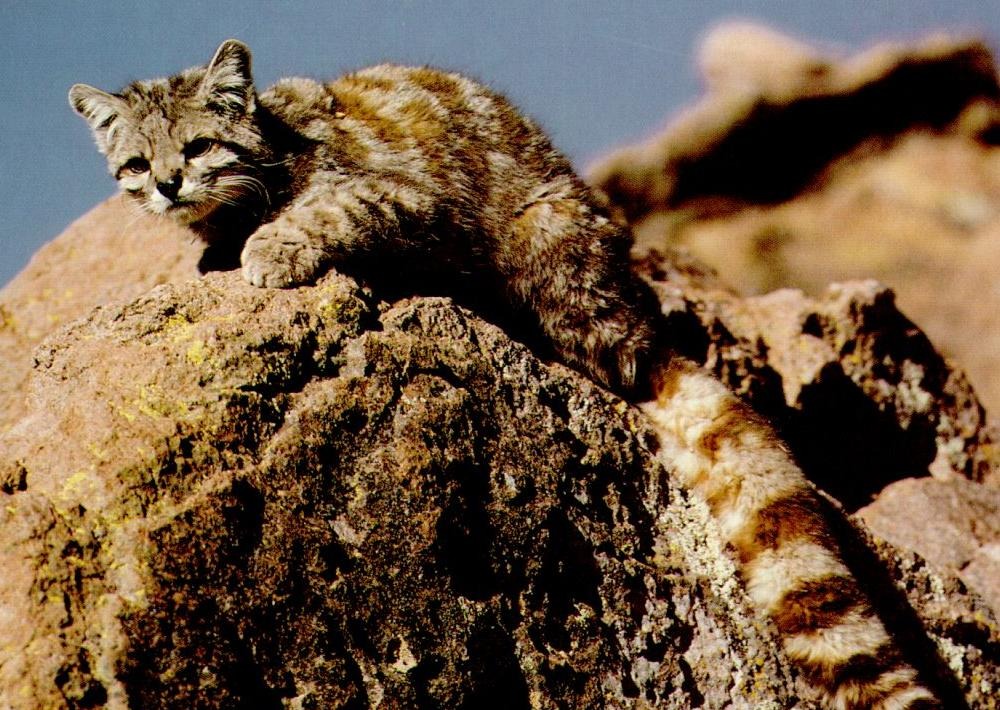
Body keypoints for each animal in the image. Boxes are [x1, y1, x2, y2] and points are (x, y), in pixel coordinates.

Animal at [72, 40, 944, 710]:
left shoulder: (401, 196)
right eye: (137, 162)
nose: (167, 186)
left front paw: (271, 246)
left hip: (549, 251)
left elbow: (324, 212)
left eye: (196, 148)